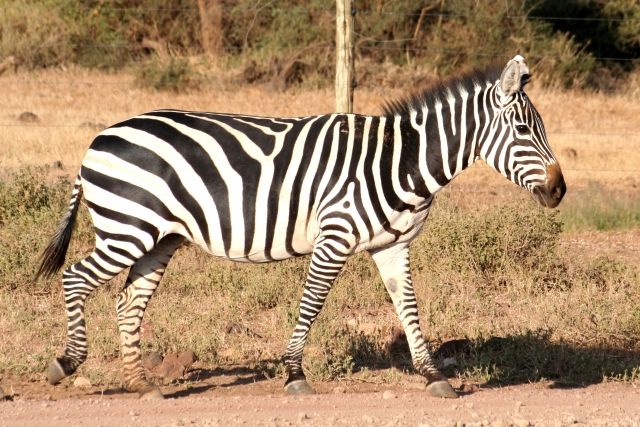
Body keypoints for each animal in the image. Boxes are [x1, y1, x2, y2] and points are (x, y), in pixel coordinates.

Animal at [36, 55, 564, 400]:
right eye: (523, 130)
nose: (560, 190)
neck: (399, 161)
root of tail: (97, 139)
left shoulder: (394, 246)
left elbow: (409, 308)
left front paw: (434, 376)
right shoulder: (335, 236)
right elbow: (311, 304)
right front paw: (294, 374)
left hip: (158, 238)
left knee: (129, 301)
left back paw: (140, 383)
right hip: (128, 228)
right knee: (76, 278)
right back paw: (67, 362)